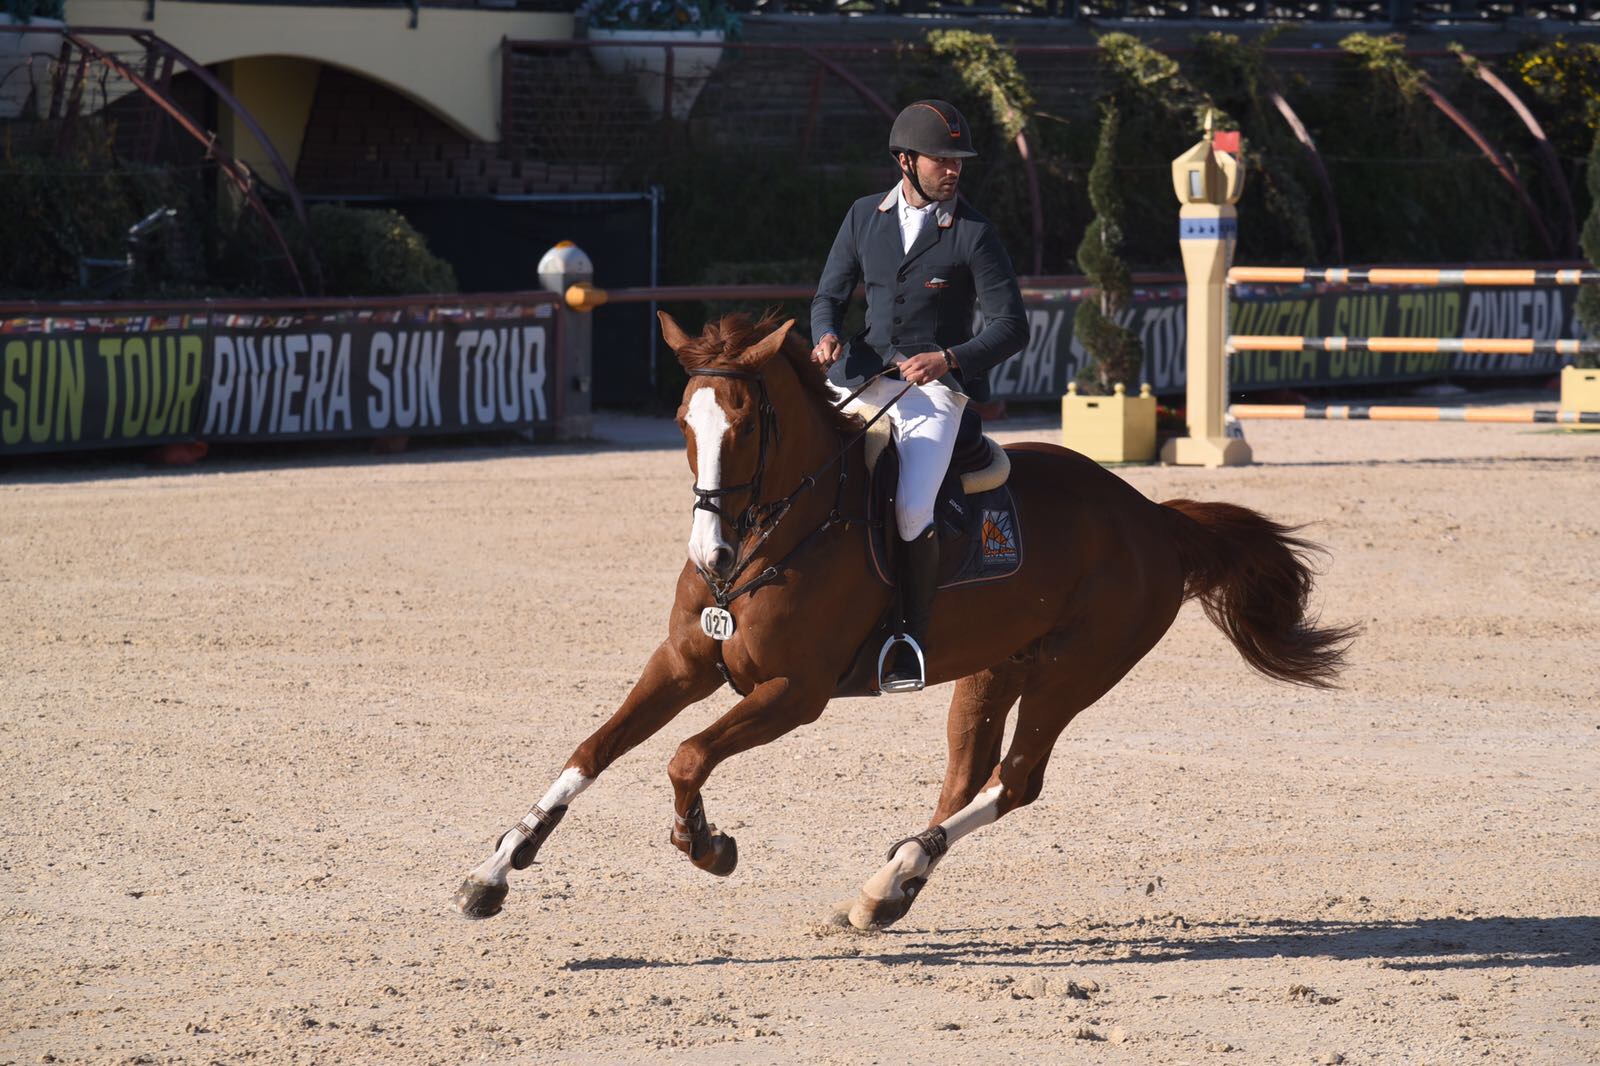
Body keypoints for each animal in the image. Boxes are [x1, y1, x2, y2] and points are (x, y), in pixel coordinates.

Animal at [457, 312, 1356, 928]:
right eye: (683, 422)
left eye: (743, 426)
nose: (711, 553)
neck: (775, 534)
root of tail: (1152, 517)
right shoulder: (685, 664)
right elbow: (592, 750)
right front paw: (498, 867)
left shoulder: (795, 692)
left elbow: (684, 758)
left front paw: (706, 845)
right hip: (996, 667)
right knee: (968, 774)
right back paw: (891, 886)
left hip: (1073, 673)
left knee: (1016, 780)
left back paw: (893, 877)